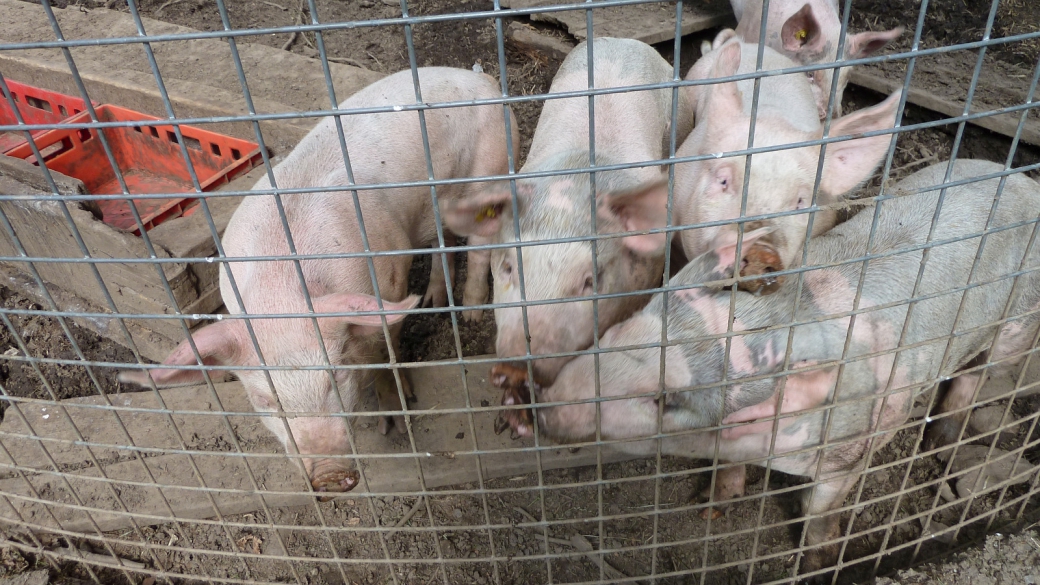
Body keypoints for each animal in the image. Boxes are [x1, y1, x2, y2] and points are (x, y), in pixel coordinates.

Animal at [119, 67, 517, 495]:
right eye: (265, 401)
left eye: (335, 377)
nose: (328, 474)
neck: (279, 293)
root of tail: (480, 78)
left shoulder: (390, 278)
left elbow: (386, 349)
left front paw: (394, 419)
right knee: (444, 244)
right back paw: (433, 303)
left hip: (490, 166)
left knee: (480, 247)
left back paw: (472, 314)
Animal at [492, 159, 1040, 574]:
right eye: (613, 335)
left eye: (667, 401)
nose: (542, 406)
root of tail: (1023, 179)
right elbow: (728, 472)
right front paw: (710, 508)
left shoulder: (850, 449)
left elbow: (820, 511)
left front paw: (817, 564)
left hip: (1018, 321)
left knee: (982, 374)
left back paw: (944, 439)